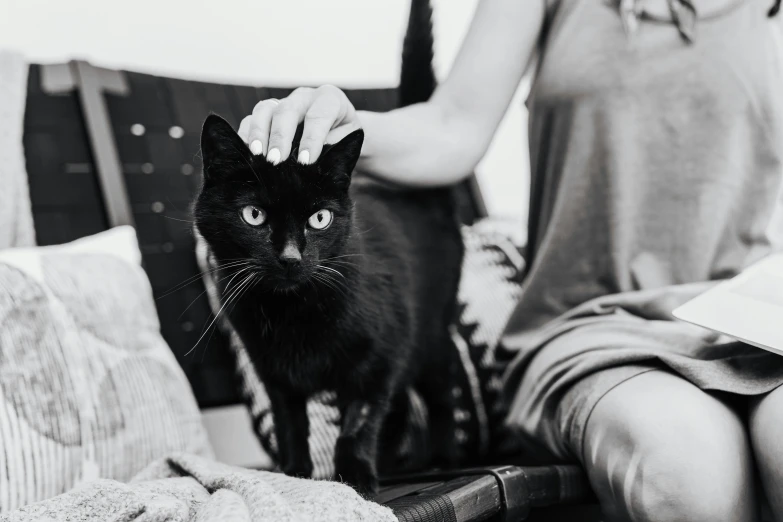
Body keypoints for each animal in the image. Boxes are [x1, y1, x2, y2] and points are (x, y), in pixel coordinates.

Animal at [196, 115, 466, 492]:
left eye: (320, 218)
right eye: (253, 214)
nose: (290, 258)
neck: (292, 312)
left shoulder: (377, 360)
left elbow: (358, 424)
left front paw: (355, 476)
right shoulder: (273, 373)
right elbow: (290, 425)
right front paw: (294, 473)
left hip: (431, 337)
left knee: (439, 393)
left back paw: (441, 458)